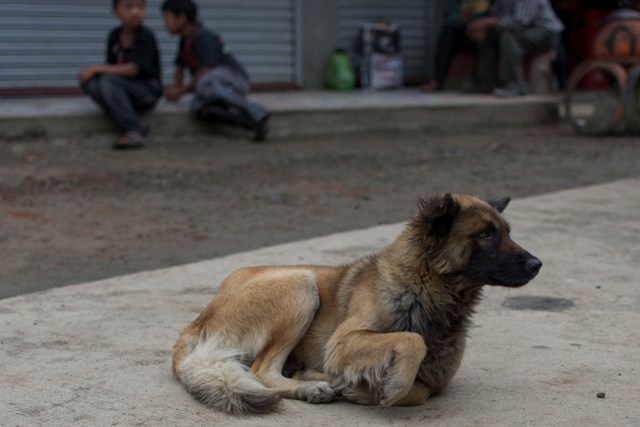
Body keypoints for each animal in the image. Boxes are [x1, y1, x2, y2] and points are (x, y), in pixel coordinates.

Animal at [170, 194, 540, 414]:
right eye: (484, 235)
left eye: (506, 232)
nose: (537, 264)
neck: (426, 289)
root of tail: (197, 321)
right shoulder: (344, 341)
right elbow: (411, 342)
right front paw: (383, 386)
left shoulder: (436, 381)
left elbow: (421, 390)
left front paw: (362, 386)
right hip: (301, 285)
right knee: (262, 370)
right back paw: (314, 387)